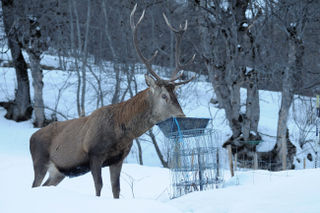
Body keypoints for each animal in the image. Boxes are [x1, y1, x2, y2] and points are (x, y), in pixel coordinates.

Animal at [29, 3, 195, 198]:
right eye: (164, 96)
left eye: (177, 95)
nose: (183, 117)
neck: (121, 133)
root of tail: (31, 137)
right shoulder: (94, 154)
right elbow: (98, 187)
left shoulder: (118, 159)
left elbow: (116, 189)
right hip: (39, 160)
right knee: (34, 184)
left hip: (58, 172)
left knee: (46, 185)